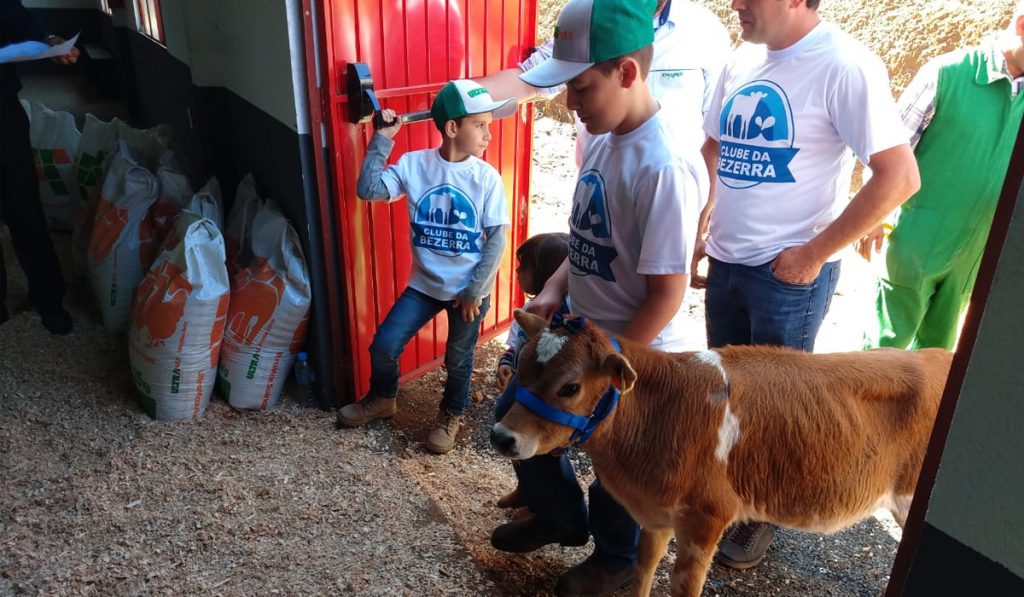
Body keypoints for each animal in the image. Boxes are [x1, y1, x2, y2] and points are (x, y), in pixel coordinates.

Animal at [487, 313, 950, 597]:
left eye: (570, 387)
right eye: (522, 365)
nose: (502, 436)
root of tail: (941, 356)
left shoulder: (707, 517)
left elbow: (684, 586)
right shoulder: (655, 515)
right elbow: (643, 570)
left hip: (908, 499)